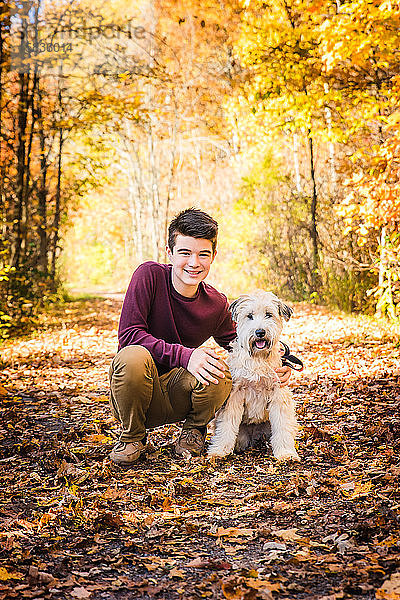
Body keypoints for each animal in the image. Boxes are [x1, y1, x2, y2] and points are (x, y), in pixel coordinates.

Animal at [208, 292, 298, 462]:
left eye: (268, 314)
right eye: (249, 316)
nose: (260, 332)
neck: (258, 358)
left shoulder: (278, 394)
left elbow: (282, 425)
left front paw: (285, 452)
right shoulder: (234, 395)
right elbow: (227, 424)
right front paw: (220, 450)